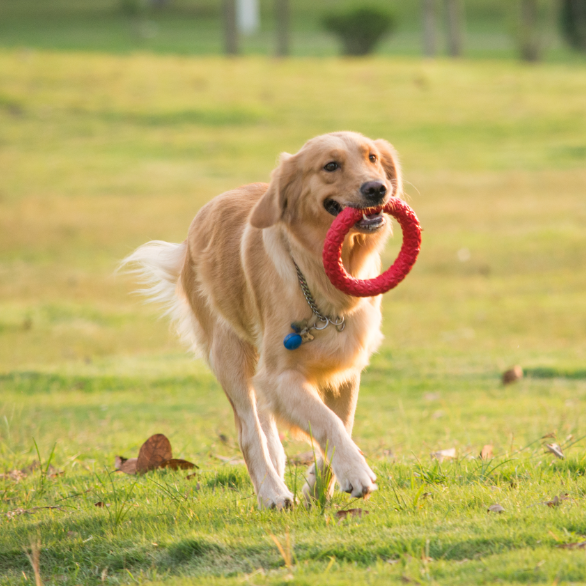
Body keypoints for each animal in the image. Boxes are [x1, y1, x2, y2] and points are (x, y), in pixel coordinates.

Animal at [121, 130, 400, 504]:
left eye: (372, 158)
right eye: (330, 166)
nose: (377, 189)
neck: (318, 275)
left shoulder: (344, 369)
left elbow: (343, 422)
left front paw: (318, 487)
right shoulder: (279, 375)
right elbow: (327, 421)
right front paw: (355, 472)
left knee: (267, 429)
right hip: (229, 354)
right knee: (249, 431)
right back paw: (271, 492)